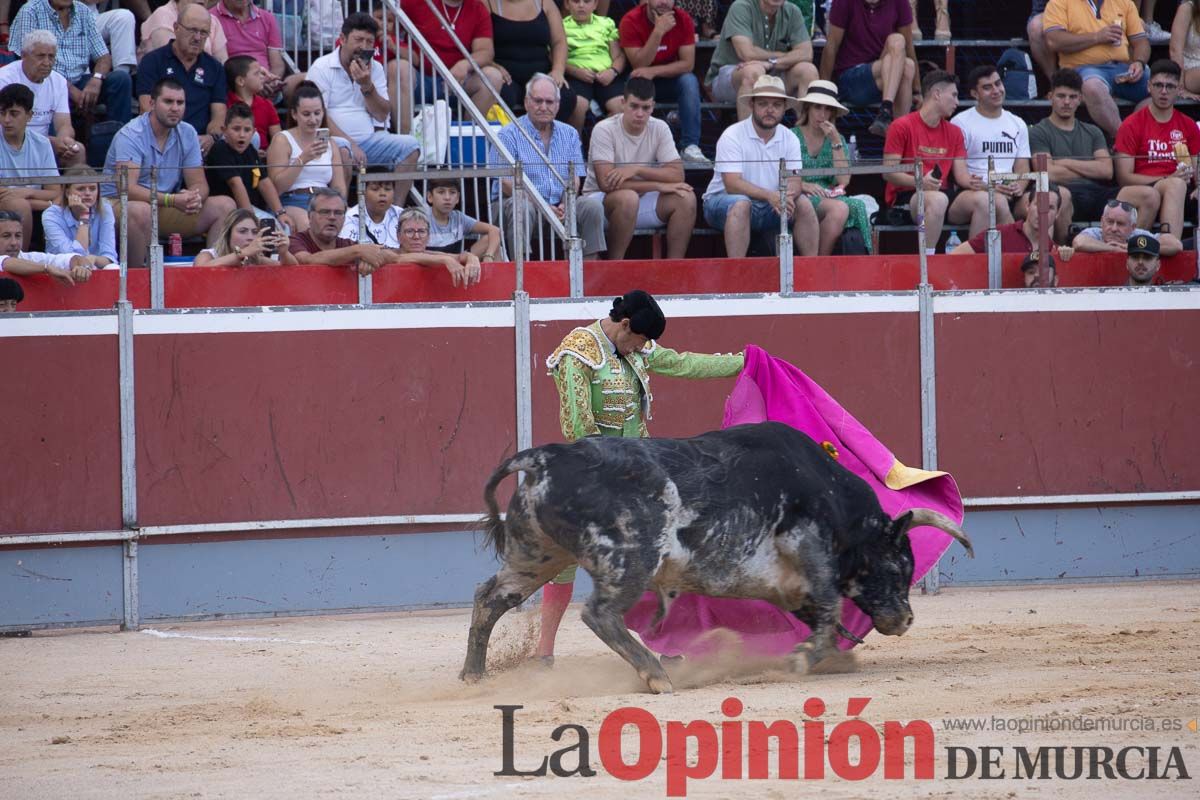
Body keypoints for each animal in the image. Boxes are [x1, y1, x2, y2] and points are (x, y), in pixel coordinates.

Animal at [458, 422, 974, 690]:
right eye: (899, 565)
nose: (905, 619)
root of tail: (546, 457)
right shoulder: (808, 546)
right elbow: (828, 607)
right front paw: (803, 659)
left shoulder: (786, 582)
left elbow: (818, 613)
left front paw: (831, 653)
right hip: (632, 557)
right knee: (600, 613)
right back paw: (656, 674)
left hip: (535, 555)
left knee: (491, 596)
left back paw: (473, 675)